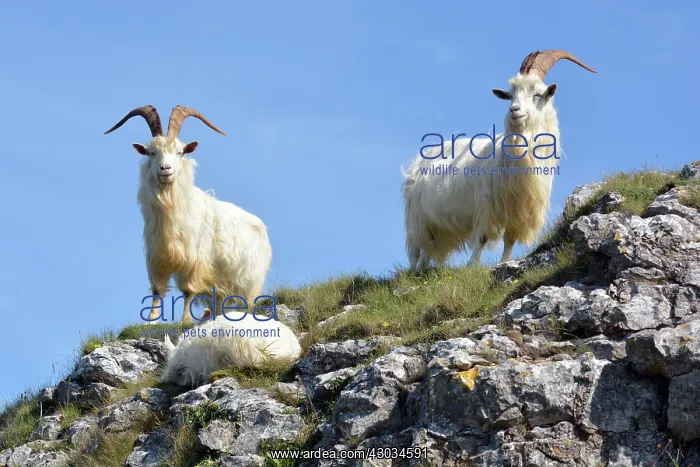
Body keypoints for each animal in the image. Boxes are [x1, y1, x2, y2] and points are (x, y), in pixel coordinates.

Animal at [105, 105, 272, 323]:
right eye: (152, 153)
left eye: (180, 152)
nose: (165, 168)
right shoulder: (157, 258)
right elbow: (157, 290)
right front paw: (151, 319)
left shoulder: (194, 260)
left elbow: (188, 291)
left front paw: (185, 320)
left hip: (250, 282)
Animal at [402, 50, 596, 271]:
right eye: (510, 95)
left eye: (538, 94)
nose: (514, 110)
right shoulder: (486, 207)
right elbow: (482, 238)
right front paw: (472, 267)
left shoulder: (516, 212)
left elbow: (509, 241)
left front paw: (505, 263)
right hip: (417, 218)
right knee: (415, 250)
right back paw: (412, 273)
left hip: (440, 227)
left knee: (428, 251)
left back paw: (421, 272)